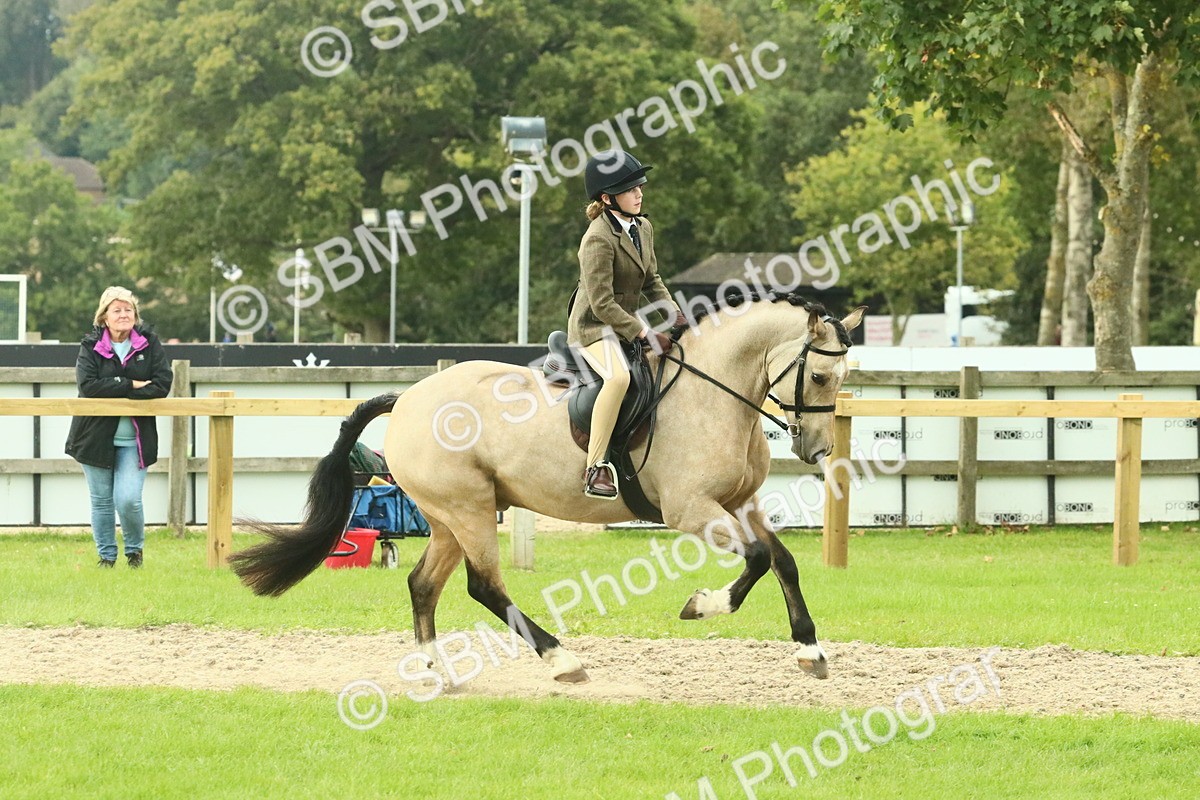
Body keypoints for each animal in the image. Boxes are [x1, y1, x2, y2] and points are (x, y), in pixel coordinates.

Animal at [230, 295, 865, 684]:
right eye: (818, 375)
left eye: (843, 377)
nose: (816, 452)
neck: (713, 393)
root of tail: (407, 397)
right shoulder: (692, 510)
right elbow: (756, 559)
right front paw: (701, 605)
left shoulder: (739, 503)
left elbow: (782, 560)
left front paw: (810, 650)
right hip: (469, 511)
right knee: (484, 587)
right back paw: (561, 660)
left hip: (451, 517)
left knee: (422, 584)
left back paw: (436, 669)